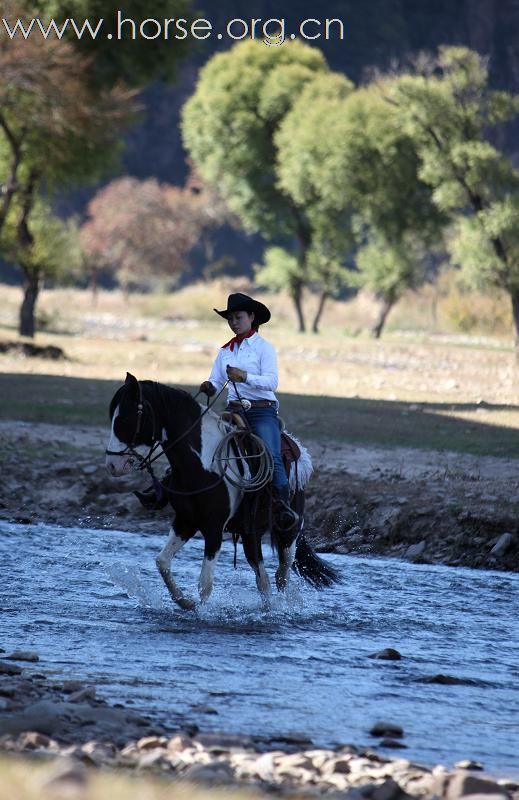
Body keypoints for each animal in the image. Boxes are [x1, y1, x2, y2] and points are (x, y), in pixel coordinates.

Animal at [106, 372, 342, 608]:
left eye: (124, 419)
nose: (112, 465)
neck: (201, 462)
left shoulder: (214, 527)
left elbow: (205, 584)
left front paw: (200, 611)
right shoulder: (186, 521)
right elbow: (162, 562)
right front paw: (184, 602)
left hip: (288, 531)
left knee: (281, 575)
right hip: (250, 534)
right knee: (263, 579)